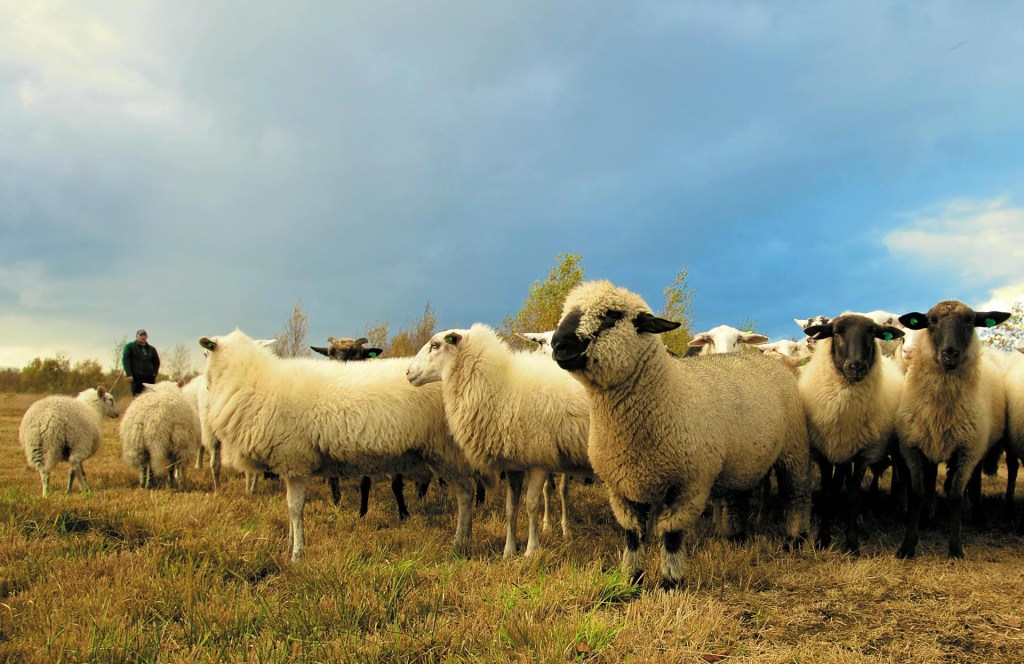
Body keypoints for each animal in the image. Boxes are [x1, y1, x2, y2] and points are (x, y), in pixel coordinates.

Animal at [198, 329, 475, 561]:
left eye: (205, 352)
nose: (206, 385)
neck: (255, 382)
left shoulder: (295, 461)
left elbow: (295, 509)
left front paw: (296, 554)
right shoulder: (290, 465)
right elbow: (289, 509)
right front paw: (289, 544)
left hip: (447, 450)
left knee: (465, 494)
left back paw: (459, 542)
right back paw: (466, 536)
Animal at [407, 323, 592, 557]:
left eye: (435, 345)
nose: (408, 372)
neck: (502, 387)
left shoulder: (539, 460)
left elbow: (532, 504)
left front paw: (531, 551)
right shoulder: (513, 463)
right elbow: (510, 508)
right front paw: (508, 551)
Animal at [551, 280, 811, 588]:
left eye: (613, 315)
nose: (558, 345)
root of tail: (770, 362)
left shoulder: (691, 484)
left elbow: (672, 535)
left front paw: (670, 583)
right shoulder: (620, 485)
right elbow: (632, 534)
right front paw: (632, 579)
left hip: (794, 448)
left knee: (795, 494)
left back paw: (794, 538)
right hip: (743, 459)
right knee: (738, 497)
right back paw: (736, 537)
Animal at [798, 314, 905, 552]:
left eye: (872, 333)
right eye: (836, 332)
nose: (856, 366)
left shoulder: (864, 453)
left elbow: (854, 496)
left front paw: (851, 542)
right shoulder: (826, 451)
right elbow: (829, 493)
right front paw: (823, 538)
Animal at [894, 301, 1010, 559]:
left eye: (970, 321)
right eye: (932, 321)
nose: (950, 353)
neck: (942, 409)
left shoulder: (968, 450)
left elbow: (956, 497)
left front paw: (956, 548)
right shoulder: (913, 447)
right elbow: (917, 494)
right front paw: (908, 545)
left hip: (977, 447)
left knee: (972, 484)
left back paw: (976, 515)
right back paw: (928, 517)